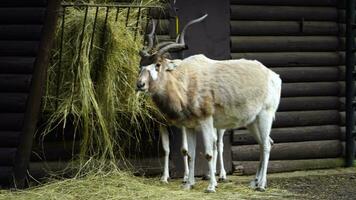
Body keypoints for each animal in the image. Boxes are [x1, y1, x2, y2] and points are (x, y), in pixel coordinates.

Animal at [136, 14, 280, 192]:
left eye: (157, 65)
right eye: (141, 64)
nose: (140, 84)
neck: (187, 81)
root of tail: (273, 76)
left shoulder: (206, 121)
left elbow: (208, 153)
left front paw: (211, 186)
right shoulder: (189, 126)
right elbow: (190, 154)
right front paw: (188, 184)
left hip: (265, 115)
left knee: (266, 145)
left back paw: (261, 185)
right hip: (252, 122)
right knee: (263, 143)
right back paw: (255, 182)